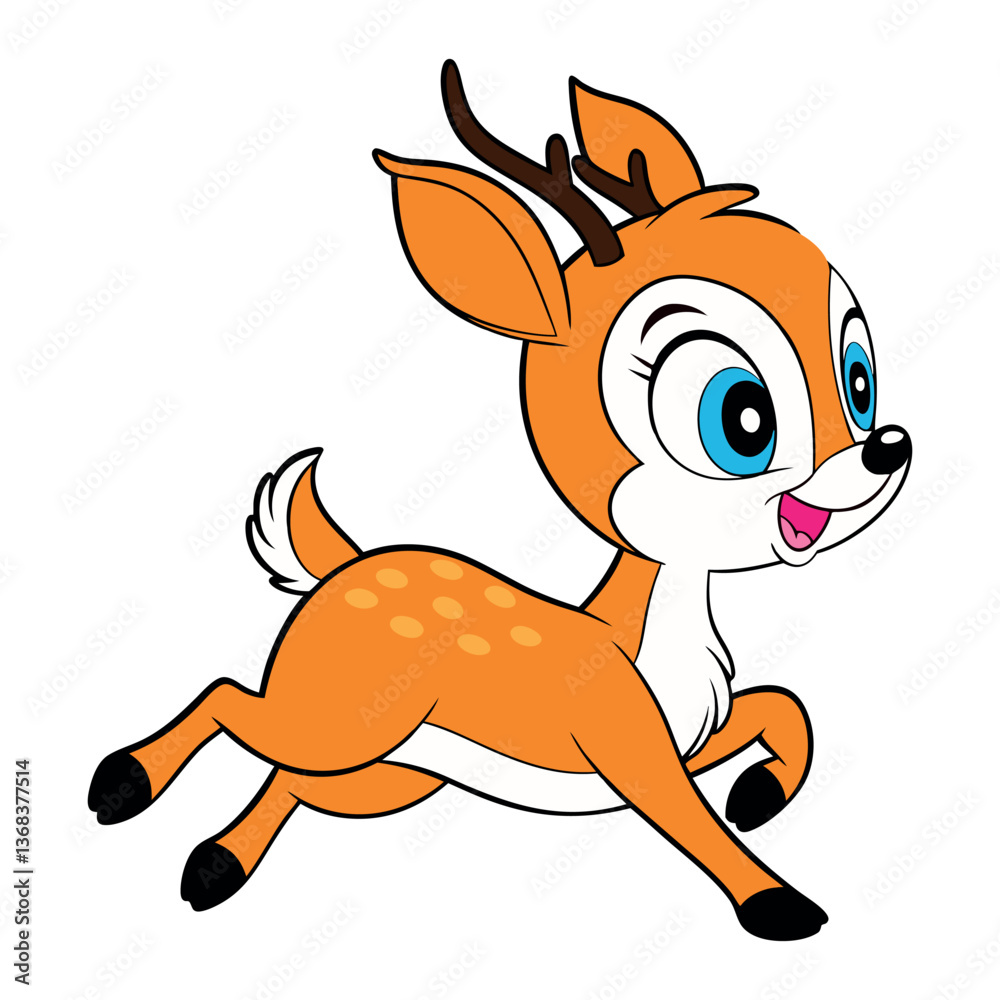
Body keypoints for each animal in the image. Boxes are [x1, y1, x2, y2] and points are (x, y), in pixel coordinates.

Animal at [88, 61, 912, 940]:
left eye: (858, 379)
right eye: (742, 417)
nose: (886, 447)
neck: (649, 634)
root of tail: (345, 567)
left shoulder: (692, 740)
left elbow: (781, 709)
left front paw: (759, 794)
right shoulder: (632, 751)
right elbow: (696, 825)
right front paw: (776, 901)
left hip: (384, 771)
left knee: (288, 775)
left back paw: (216, 865)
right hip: (343, 724)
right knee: (226, 699)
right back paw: (123, 781)